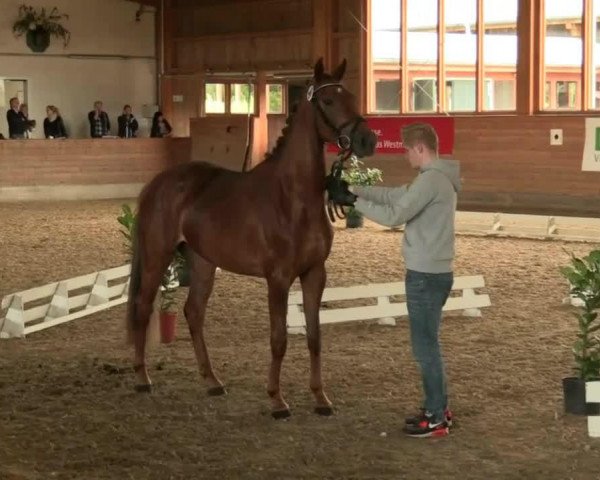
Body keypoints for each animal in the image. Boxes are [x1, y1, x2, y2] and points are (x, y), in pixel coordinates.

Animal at [127, 58, 376, 418]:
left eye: (353, 98)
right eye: (329, 101)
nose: (368, 140)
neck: (293, 198)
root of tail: (158, 183)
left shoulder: (315, 274)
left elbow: (315, 336)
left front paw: (320, 398)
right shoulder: (279, 279)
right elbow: (279, 339)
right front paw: (277, 400)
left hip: (203, 262)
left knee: (193, 312)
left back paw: (212, 381)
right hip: (157, 256)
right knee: (144, 308)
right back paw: (142, 378)